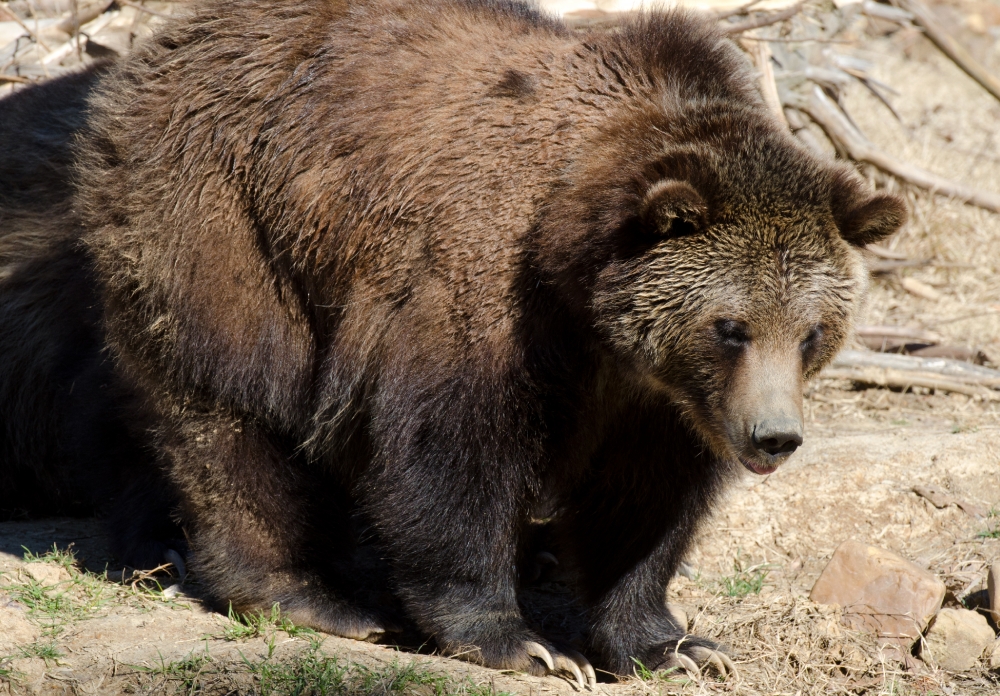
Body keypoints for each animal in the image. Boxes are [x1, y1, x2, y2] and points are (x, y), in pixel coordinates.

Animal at [3, 0, 908, 684]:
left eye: (814, 332)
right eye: (732, 326)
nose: (774, 436)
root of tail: (152, 48)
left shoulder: (654, 397)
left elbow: (644, 502)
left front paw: (675, 644)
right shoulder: (474, 291)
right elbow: (448, 453)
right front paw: (524, 643)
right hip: (226, 229)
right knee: (228, 411)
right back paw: (305, 593)